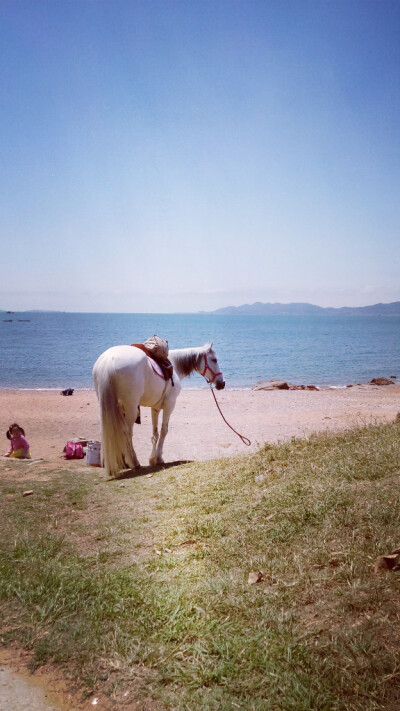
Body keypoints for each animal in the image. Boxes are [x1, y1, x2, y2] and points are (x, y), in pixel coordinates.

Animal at [93, 344, 225, 478]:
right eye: (214, 360)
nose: (222, 383)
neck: (174, 365)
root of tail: (108, 360)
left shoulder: (155, 408)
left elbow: (155, 434)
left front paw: (152, 459)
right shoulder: (169, 405)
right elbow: (164, 430)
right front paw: (159, 458)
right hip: (131, 408)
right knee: (126, 432)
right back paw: (134, 462)